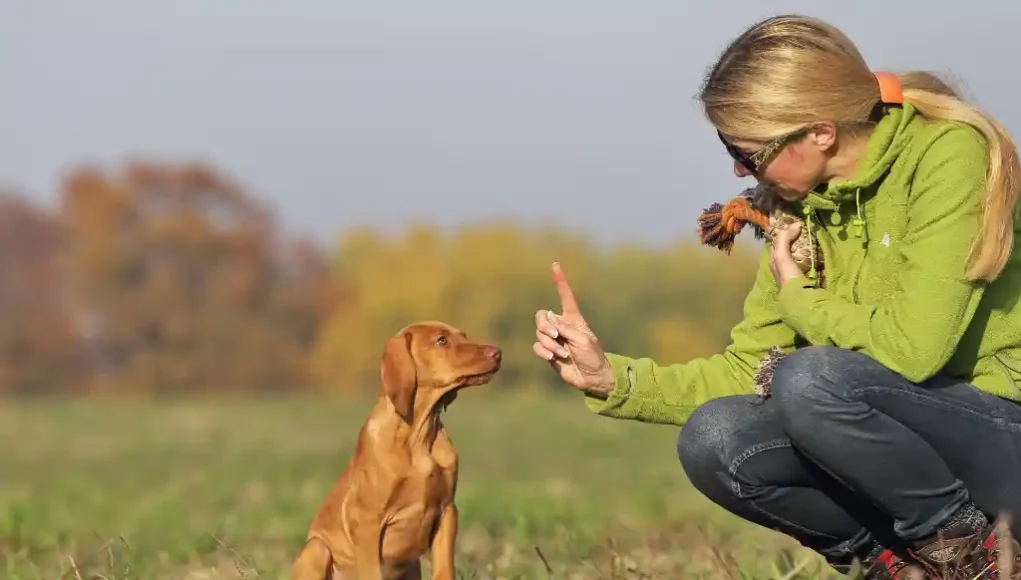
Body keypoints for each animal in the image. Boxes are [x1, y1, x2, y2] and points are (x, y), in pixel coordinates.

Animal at [292, 322, 502, 580]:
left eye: (463, 336)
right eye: (441, 340)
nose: (497, 353)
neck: (419, 436)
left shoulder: (447, 511)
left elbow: (444, 570)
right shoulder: (366, 520)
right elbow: (372, 573)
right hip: (316, 549)